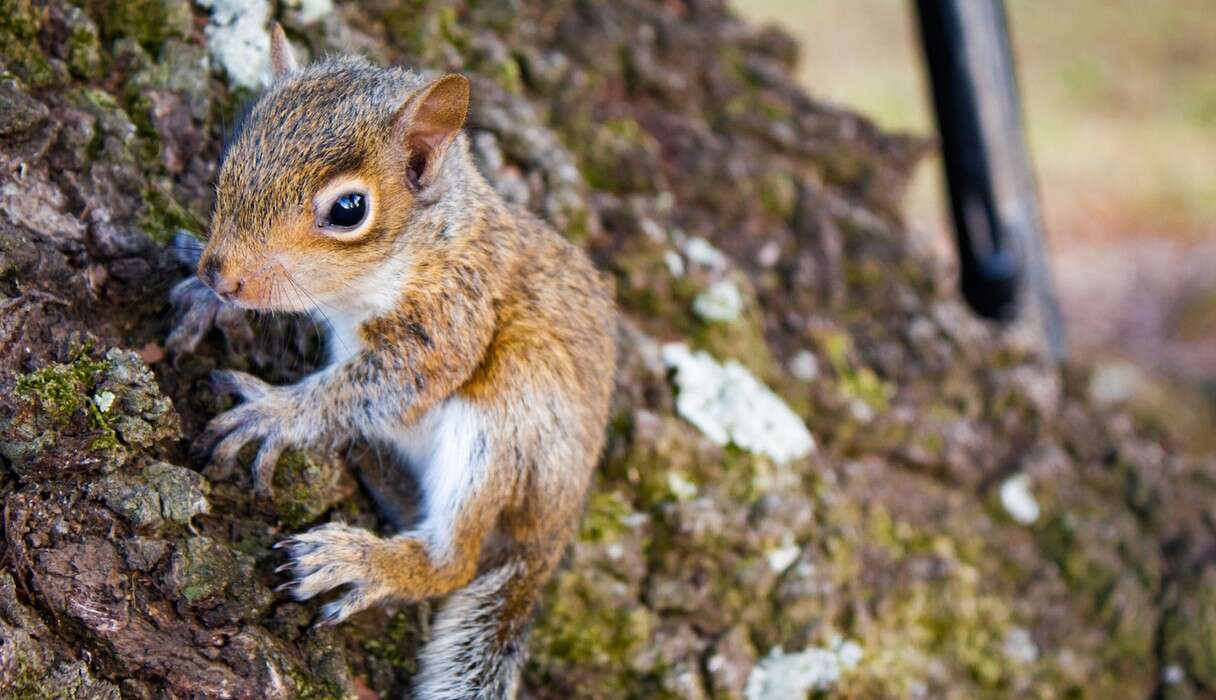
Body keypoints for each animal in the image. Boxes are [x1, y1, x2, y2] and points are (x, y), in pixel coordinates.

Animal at [169, 24, 617, 695]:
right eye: (236, 149)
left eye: (349, 210)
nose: (221, 275)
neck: (421, 244)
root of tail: (553, 531)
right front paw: (203, 295)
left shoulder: (452, 319)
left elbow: (378, 385)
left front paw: (276, 412)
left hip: (504, 427)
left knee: (454, 562)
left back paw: (362, 561)